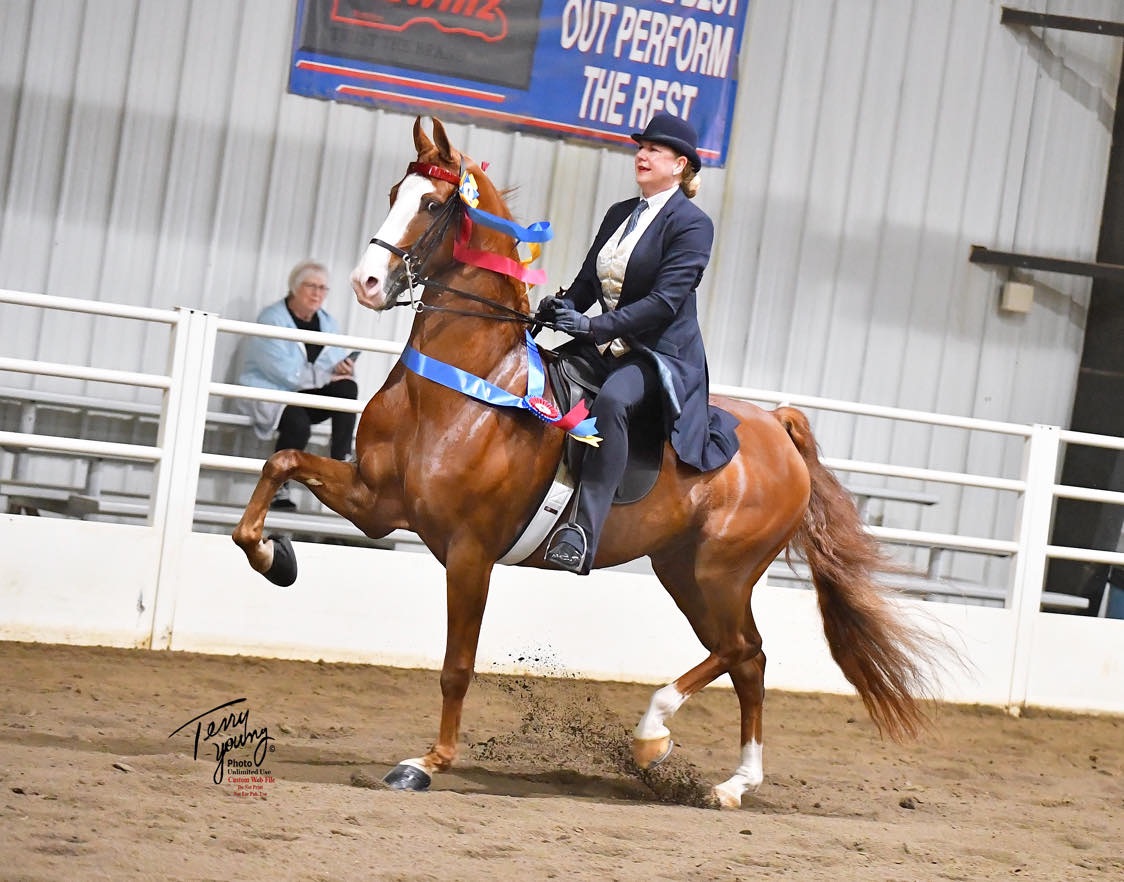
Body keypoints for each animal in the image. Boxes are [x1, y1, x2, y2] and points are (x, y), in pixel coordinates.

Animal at [232, 116, 941, 809]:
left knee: (744, 650)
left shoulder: (469, 550)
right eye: (392, 195)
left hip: (721, 571)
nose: (367, 283)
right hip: (683, 569)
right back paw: (731, 782)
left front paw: (427, 763)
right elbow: (280, 465)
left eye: (432, 204)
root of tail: (777, 427)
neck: (461, 385)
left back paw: (658, 739)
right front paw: (276, 559)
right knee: (745, 659)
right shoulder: (380, 504)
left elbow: (457, 665)